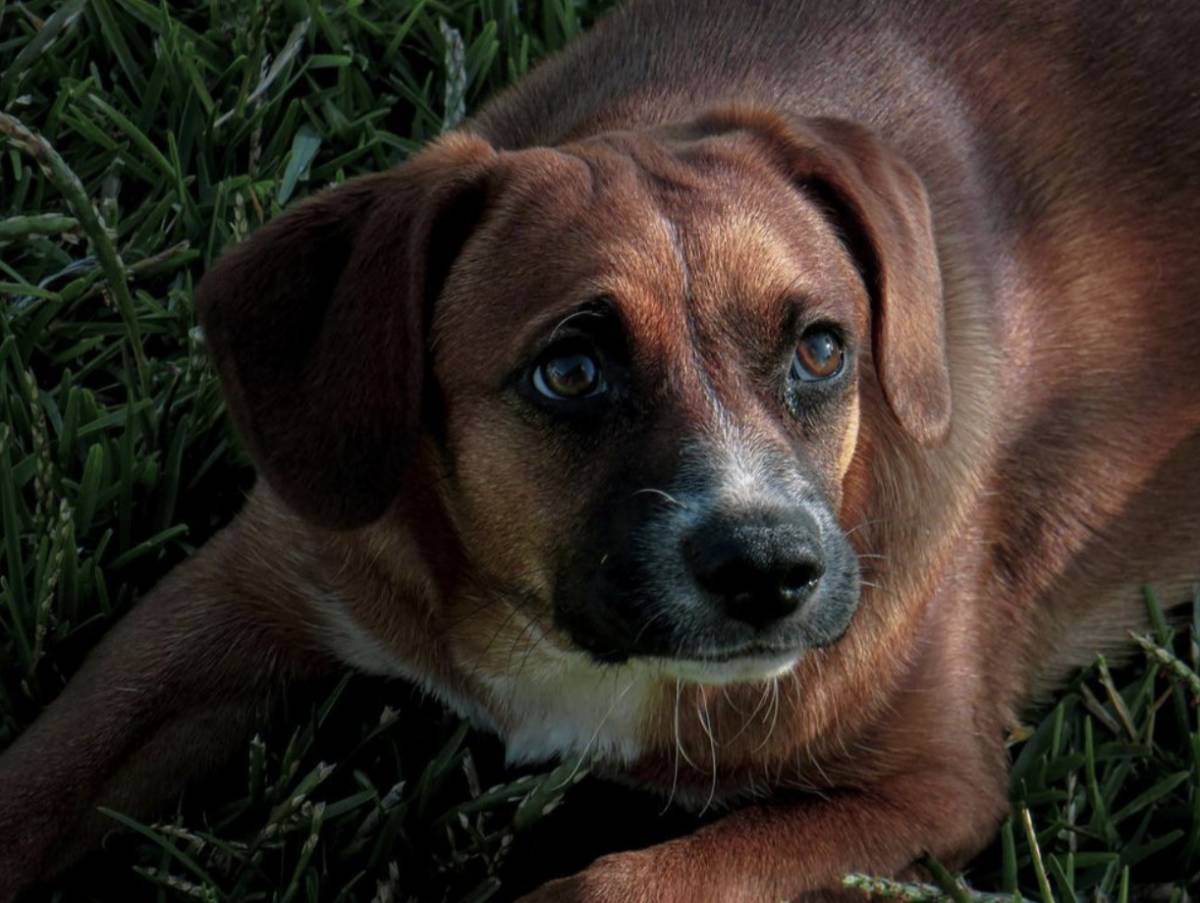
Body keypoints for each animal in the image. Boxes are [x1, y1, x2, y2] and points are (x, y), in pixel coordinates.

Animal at [2, 0, 1200, 898]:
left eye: (821, 349)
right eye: (570, 371)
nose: (771, 569)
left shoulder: (930, 791)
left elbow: (612, 881)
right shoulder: (243, 590)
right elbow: (41, 775)